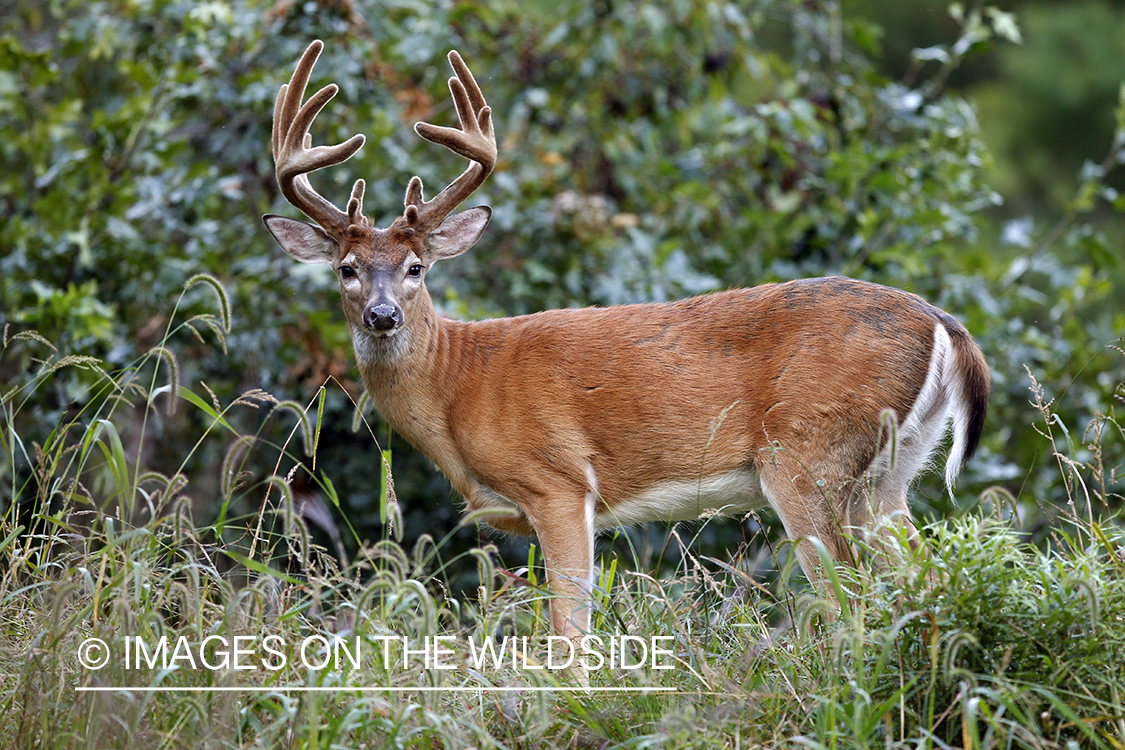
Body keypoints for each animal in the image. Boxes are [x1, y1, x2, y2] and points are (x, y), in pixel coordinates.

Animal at [261, 39, 985, 652]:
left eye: (416, 268)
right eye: (346, 269)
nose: (382, 316)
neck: (460, 385)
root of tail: (942, 321)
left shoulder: (557, 480)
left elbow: (568, 628)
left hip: (807, 455)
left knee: (851, 603)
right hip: (891, 472)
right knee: (923, 579)